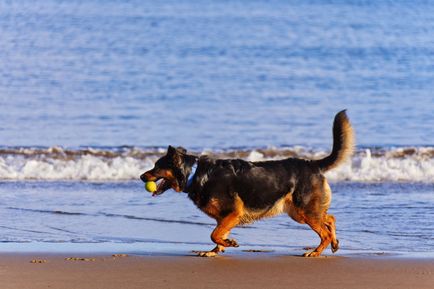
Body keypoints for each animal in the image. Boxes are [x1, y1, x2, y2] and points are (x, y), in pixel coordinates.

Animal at [141, 110, 354, 256]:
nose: (141, 177)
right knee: (330, 218)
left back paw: (316, 252)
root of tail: (313, 164)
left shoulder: (233, 213)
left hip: (303, 211)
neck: (195, 174)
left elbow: (215, 234)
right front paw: (215, 250)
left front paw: (228, 244)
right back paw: (334, 243)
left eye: (157, 166)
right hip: (299, 212)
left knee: (324, 230)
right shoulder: (225, 217)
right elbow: (218, 234)